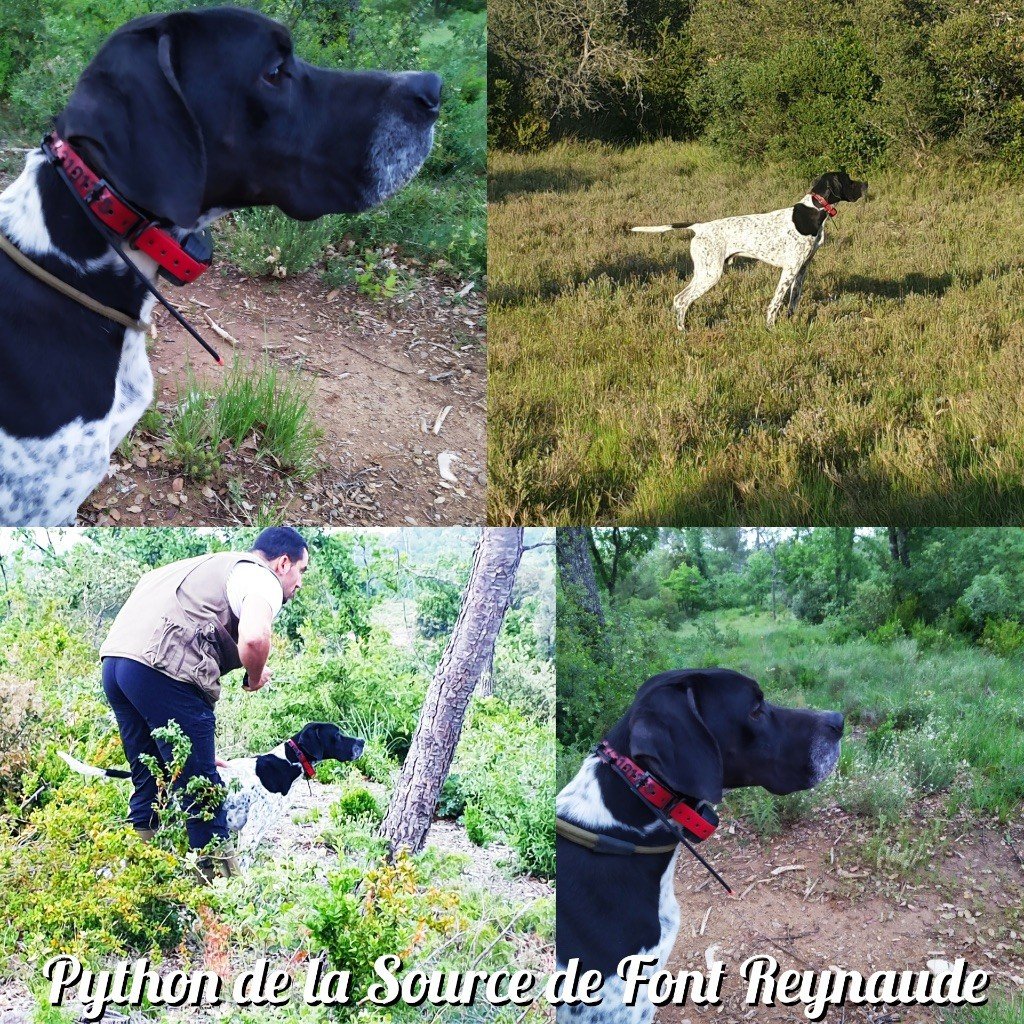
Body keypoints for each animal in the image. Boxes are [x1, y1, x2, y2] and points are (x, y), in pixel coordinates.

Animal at [630, 172, 864, 329]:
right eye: (848, 180)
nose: (866, 184)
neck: (814, 210)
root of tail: (699, 227)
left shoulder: (802, 269)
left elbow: (793, 301)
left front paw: (791, 323)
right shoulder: (789, 270)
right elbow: (776, 303)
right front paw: (771, 328)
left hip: (704, 272)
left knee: (679, 299)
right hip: (710, 274)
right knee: (682, 300)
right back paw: (682, 331)